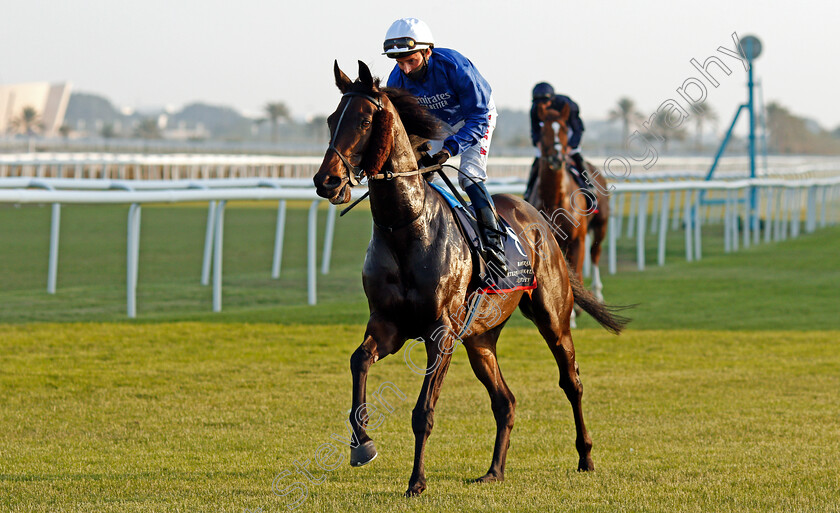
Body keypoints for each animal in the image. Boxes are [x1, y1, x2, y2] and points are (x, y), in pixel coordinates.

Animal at [524, 101, 612, 314]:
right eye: (543, 129)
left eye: (563, 128)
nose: (556, 158)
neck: (555, 198)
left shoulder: (578, 239)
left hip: (601, 225)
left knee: (595, 254)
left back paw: (597, 293)